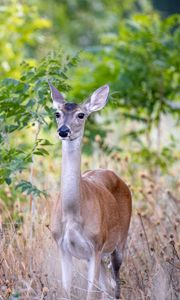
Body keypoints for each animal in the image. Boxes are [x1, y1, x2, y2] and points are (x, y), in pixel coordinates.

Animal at [48, 82, 131, 300]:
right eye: (57, 113)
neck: (72, 213)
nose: (63, 131)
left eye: (81, 115)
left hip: (119, 241)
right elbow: (66, 290)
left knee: (116, 284)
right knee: (107, 286)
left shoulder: (96, 244)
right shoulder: (62, 245)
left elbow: (90, 293)